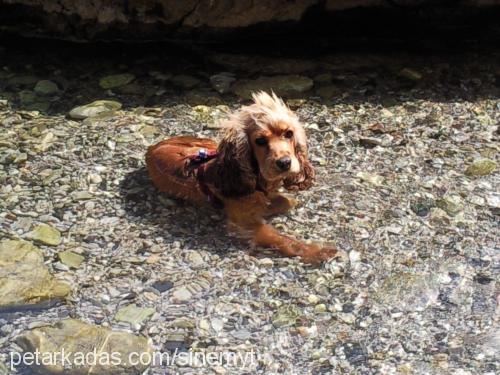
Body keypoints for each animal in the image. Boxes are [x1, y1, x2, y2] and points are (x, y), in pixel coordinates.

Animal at [146, 93, 338, 264]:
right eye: (260, 141)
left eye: (289, 133)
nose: (285, 163)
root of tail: (152, 146)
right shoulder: (244, 223)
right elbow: (279, 237)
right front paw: (316, 251)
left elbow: (285, 202)